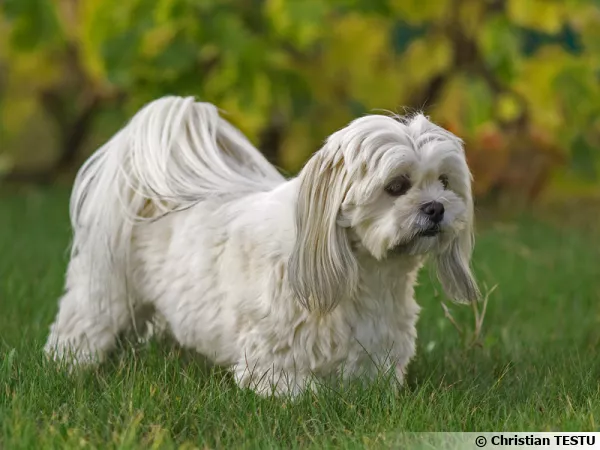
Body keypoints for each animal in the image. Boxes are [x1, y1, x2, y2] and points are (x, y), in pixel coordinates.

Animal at [44, 96, 480, 396]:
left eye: (444, 182)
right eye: (396, 186)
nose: (436, 208)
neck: (370, 273)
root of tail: (147, 194)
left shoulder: (377, 350)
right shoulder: (271, 360)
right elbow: (304, 393)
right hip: (106, 293)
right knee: (81, 328)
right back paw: (69, 365)